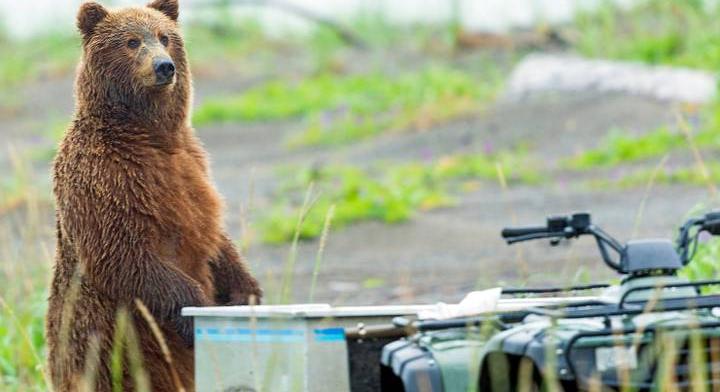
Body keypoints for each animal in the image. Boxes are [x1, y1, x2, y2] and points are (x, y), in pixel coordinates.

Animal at [44, 0, 262, 388]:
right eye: (131, 41)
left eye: (165, 37)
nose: (164, 66)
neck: (148, 133)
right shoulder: (104, 179)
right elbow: (123, 253)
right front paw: (195, 310)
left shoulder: (192, 166)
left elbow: (214, 236)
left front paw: (246, 292)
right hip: (107, 354)